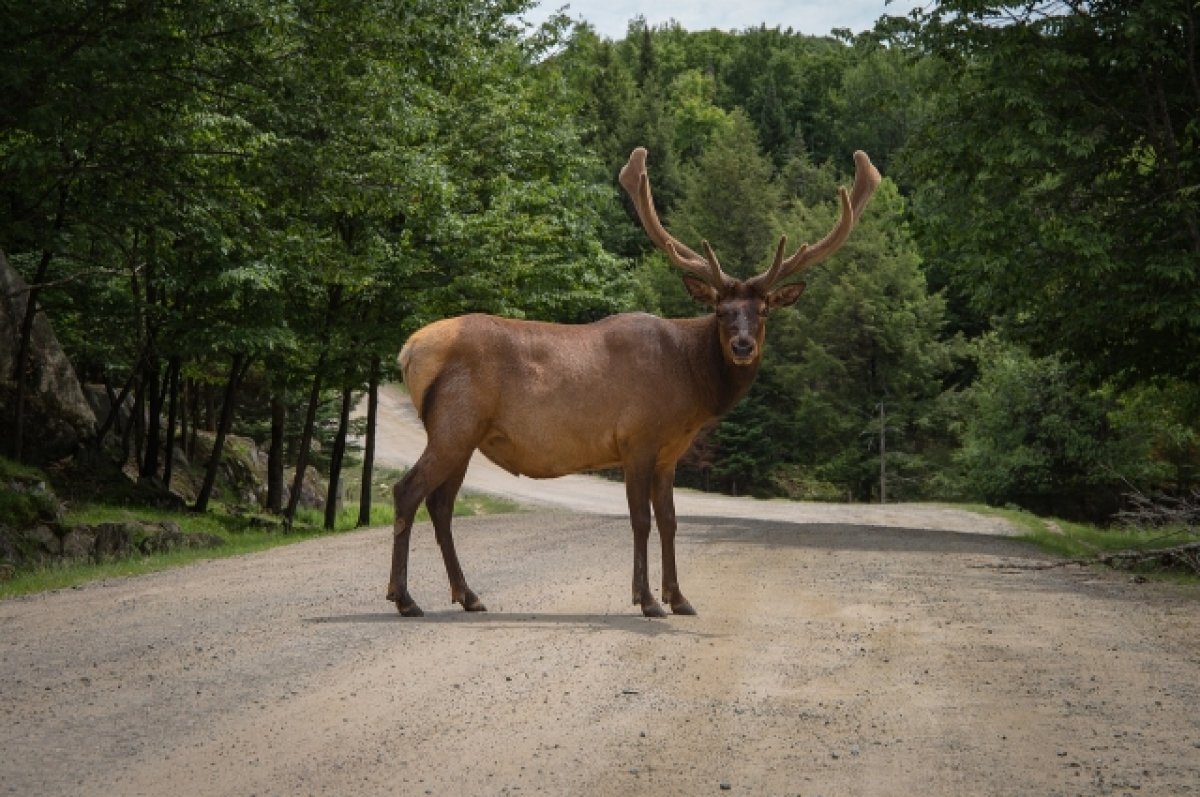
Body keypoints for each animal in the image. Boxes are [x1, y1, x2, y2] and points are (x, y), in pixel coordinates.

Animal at [388, 146, 878, 619]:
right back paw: (405, 597)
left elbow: (670, 520)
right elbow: (640, 519)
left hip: (465, 434)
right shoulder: (636, 437)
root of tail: (409, 349)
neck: (691, 387)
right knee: (407, 490)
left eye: (763, 312)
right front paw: (647, 600)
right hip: (454, 424)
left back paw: (468, 595)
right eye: (721, 310)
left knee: (441, 504)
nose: (742, 346)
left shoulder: (669, 453)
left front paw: (680, 597)